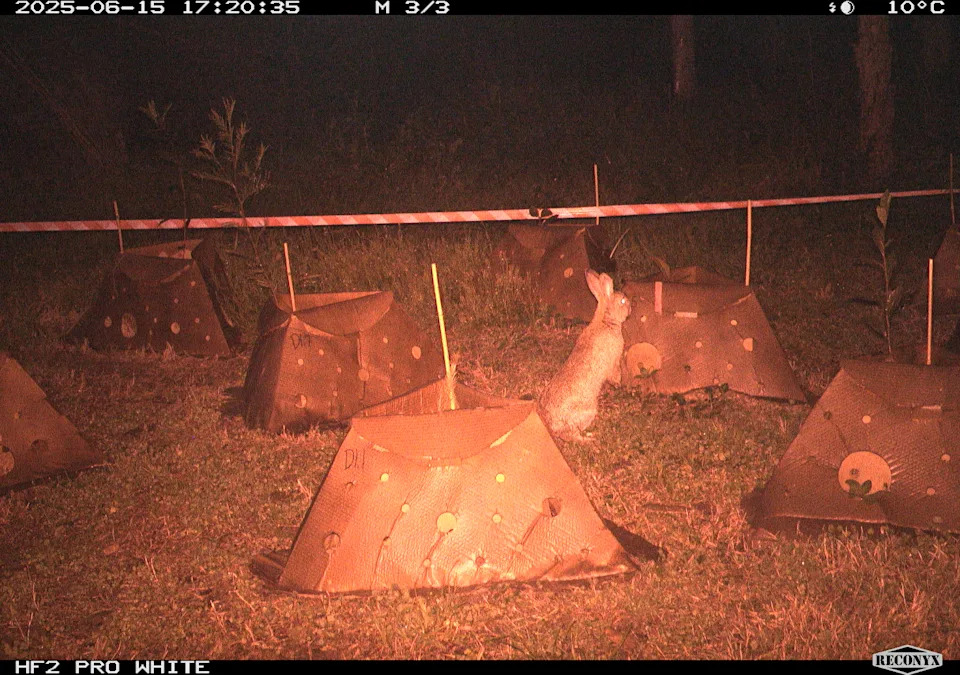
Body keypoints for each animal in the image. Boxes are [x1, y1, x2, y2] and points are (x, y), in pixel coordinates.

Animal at [538, 269, 631, 443]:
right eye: (622, 301)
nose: (630, 309)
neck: (606, 320)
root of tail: (551, 426)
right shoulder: (614, 361)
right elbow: (615, 373)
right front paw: (619, 383)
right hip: (588, 411)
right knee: (570, 435)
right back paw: (589, 439)